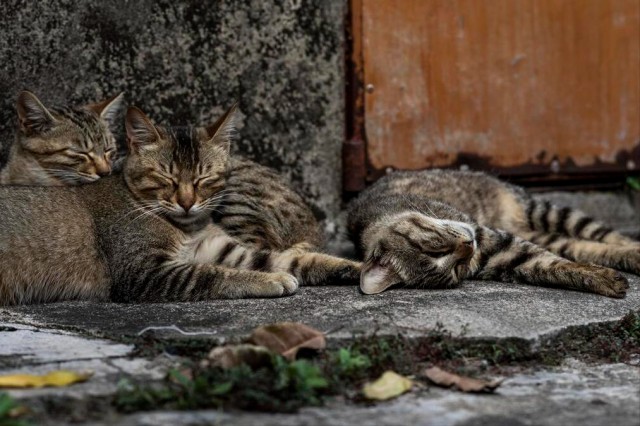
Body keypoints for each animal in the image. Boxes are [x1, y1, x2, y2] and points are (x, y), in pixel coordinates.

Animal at [0, 104, 360, 304]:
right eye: (167, 178)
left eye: (204, 178)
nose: (187, 203)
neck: (187, 228)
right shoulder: (145, 272)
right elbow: (213, 275)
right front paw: (269, 280)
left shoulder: (220, 248)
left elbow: (290, 259)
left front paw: (355, 268)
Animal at [350, 169, 640, 296]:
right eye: (456, 269)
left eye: (436, 248)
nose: (469, 245)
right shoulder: (508, 256)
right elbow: (554, 266)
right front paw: (601, 279)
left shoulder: (491, 235)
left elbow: (561, 263)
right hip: (542, 233)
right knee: (583, 246)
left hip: (544, 210)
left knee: (606, 235)